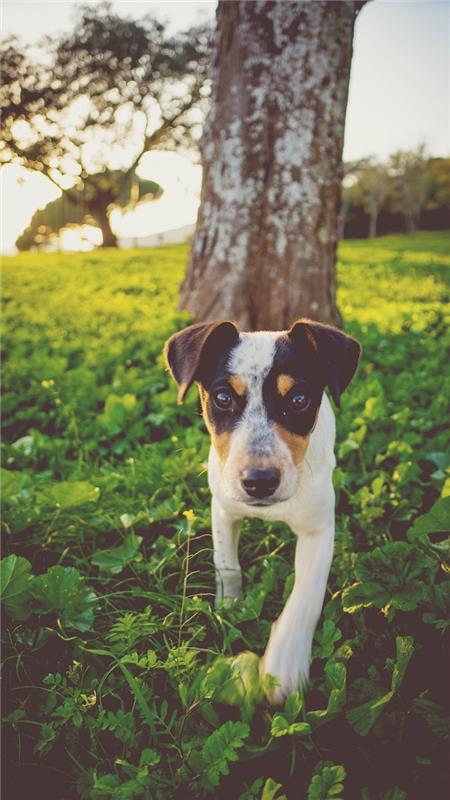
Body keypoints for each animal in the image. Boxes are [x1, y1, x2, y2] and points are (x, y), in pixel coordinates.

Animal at [163, 318, 360, 708]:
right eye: (223, 398)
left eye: (298, 400)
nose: (259, 481)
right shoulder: (222, 508)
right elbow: (227, 564)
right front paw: (229, 608)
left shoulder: (319, 529)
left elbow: (306, 595)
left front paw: (284, 661)